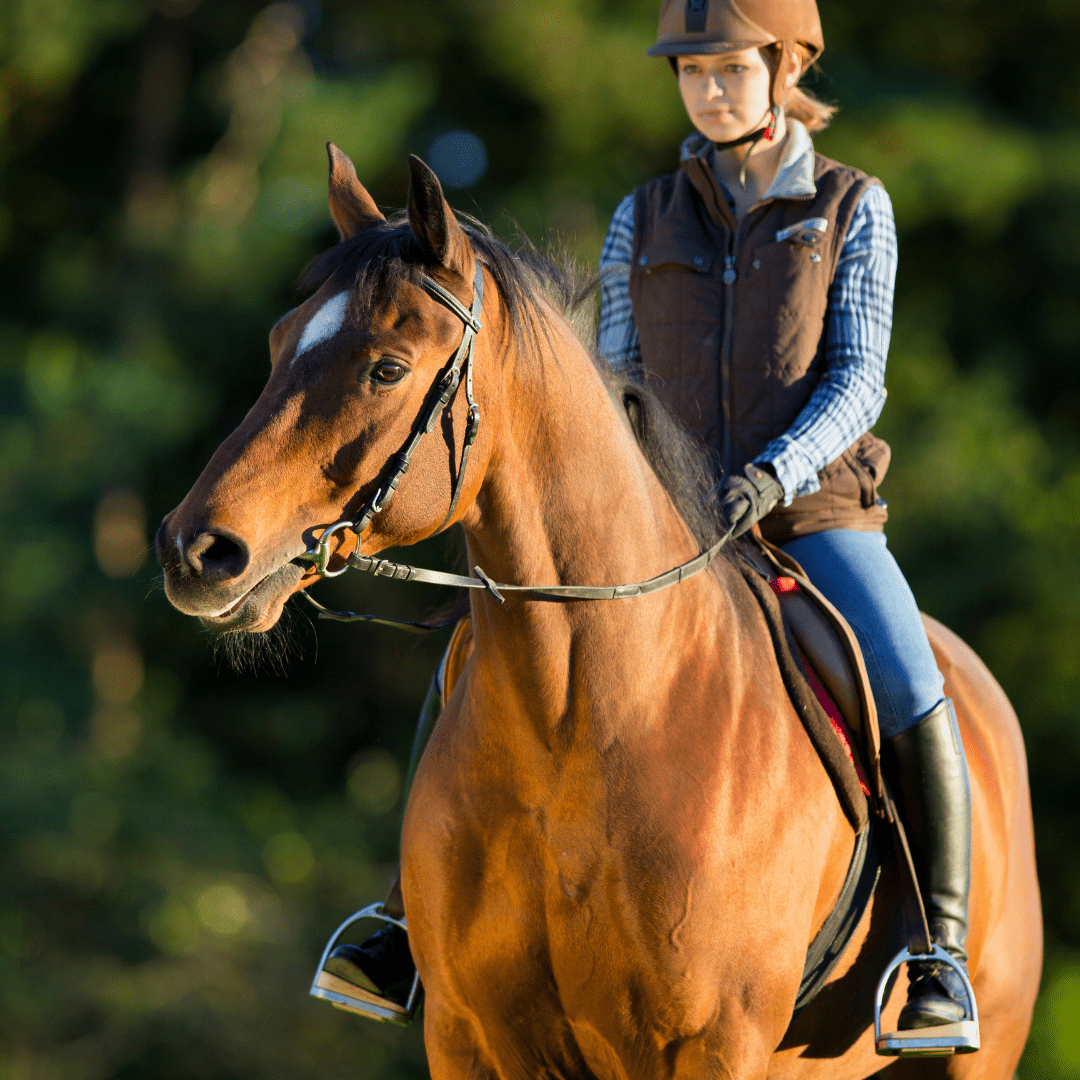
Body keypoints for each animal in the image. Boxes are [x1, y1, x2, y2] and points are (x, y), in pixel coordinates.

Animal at [156, 144, 1042, 1079]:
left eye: (386, 368)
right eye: (279, 343)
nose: (195, 551)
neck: (579, 726)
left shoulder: (714, 1046)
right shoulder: (470, 1038)